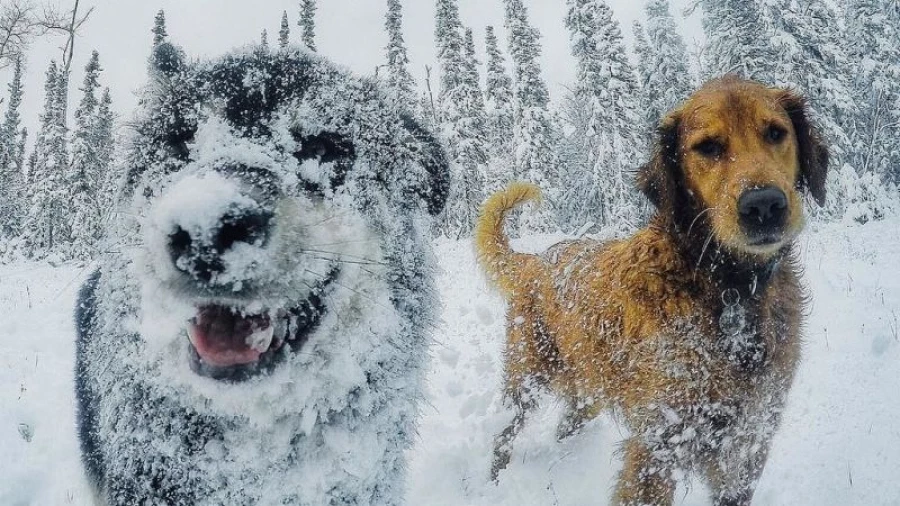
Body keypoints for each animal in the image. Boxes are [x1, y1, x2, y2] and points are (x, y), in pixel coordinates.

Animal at [478, 76, 828, 506]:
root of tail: (535, 260)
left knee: (566, 423)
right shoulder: (657, 446)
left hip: (588, 391)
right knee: (503, 436)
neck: (727, 288)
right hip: (525, 380)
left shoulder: (747, 445)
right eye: (707, 146)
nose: (764, 206)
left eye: (776, 133)